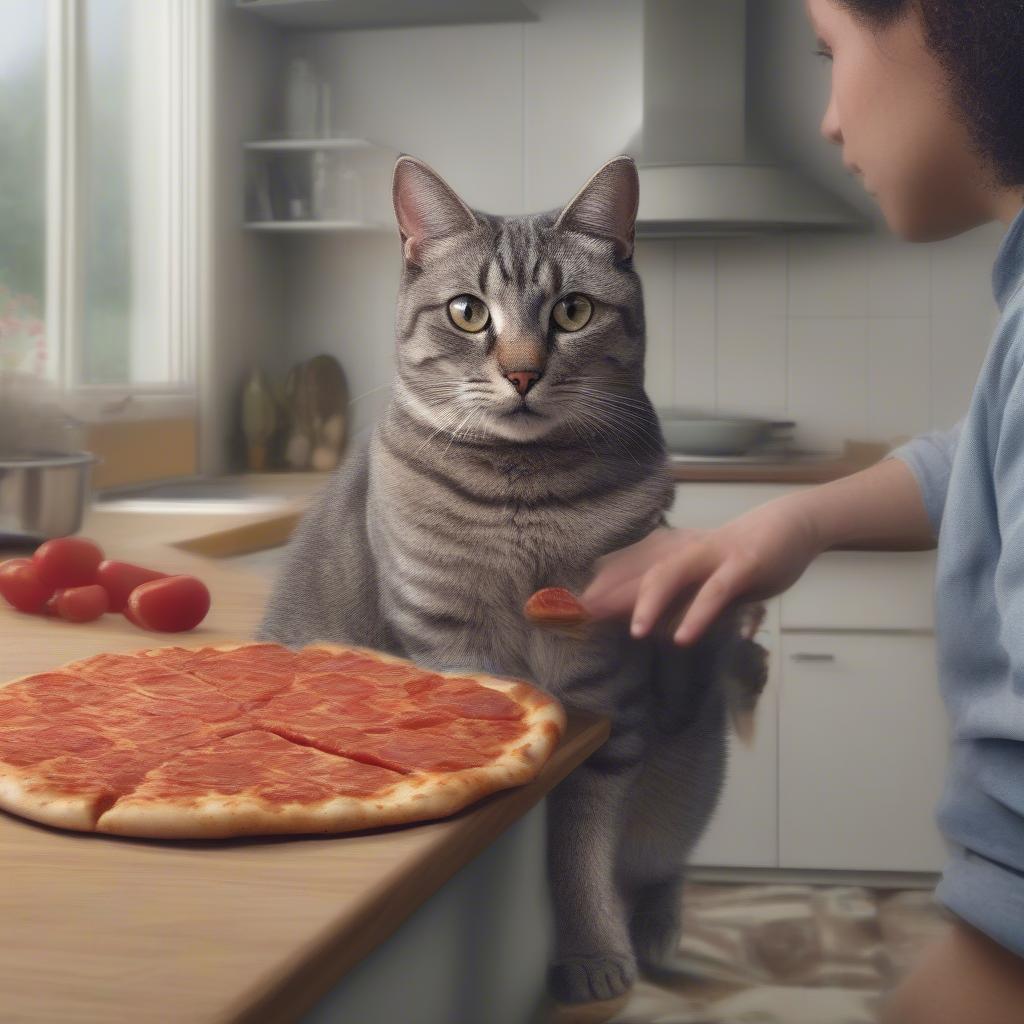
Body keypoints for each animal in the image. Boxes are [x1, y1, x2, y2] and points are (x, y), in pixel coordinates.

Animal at [256, 153, 770, 1007]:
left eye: (572, 311)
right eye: (469, 313)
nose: (523, 372)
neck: (524, 499)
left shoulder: (610, 692)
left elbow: (580, 848)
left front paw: (593, 950)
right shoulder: (450, 634)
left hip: (686, 771)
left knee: (658, 864)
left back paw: (656, 929)